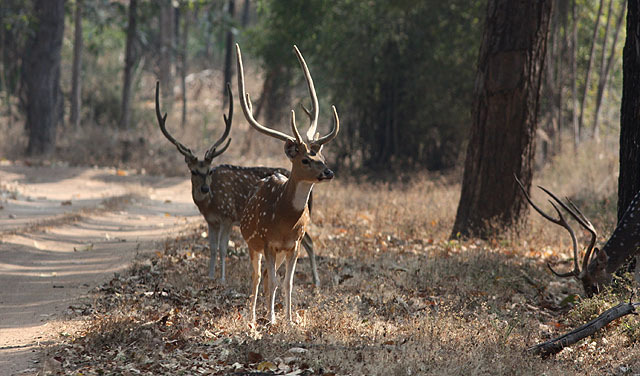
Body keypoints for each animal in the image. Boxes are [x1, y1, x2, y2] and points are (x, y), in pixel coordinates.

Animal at [152, 80, 318, 284]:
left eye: (209, 170)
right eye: (193, 171)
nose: (204, 188)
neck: (210, 204)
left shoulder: (228, 216)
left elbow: (223, 248)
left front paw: (222, 279)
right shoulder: (211, 220)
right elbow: (212, 248)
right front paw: (210, 276)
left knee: (309, 242)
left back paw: (316, 281)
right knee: (308, 242)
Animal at [238, 43, 340, 324]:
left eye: (322, 157)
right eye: (305, 159)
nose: (328, 172)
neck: (285, 220)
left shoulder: (293, 244)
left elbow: (288, 283)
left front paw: (289, 319)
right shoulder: (267, 241)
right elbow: (273, 281)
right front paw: (272, 319)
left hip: (280, 251)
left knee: (266, 278)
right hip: (252, 243)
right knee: (256, 277)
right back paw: (253, 316)